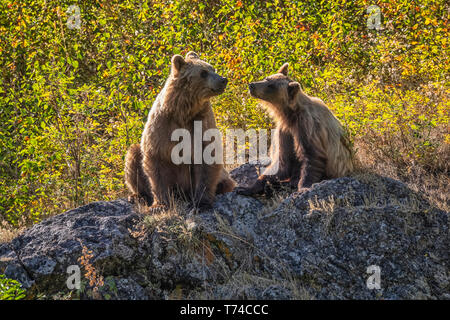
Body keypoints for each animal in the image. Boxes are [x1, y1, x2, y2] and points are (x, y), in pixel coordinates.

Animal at [124, 51, 236, 211]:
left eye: (212, 68)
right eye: (203, 72)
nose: (223, 80)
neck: (184, 110)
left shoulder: (202, 123)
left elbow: (207, 159)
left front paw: (201, 202)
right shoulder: (162, 127)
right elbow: (156, 163)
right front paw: (160, 204)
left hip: (222, 176)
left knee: (225, 180)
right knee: (133, 156)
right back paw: (137, 196)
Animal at [236, 63, 356, 195]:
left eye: (271, 86)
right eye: (267, 78)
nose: (252, 85)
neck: (290, 115)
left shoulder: (307, 126)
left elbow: (312, 156)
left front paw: (304, 187)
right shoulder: (285, 131)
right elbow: (282, 162)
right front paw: (246, 188)